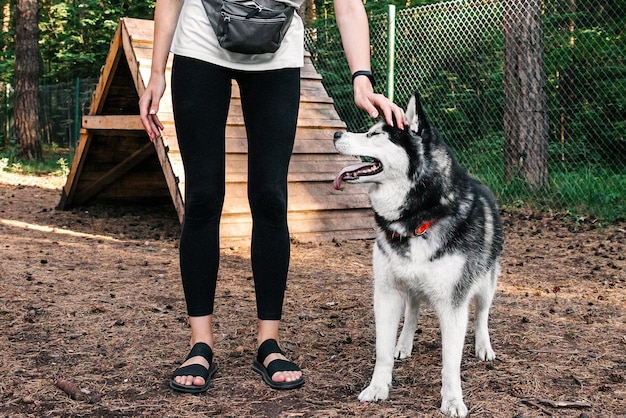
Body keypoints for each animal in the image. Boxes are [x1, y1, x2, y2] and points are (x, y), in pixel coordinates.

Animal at [332, 93, 502, 416]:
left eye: (375, 135)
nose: (336, 134)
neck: (417, 218)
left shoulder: (453, 304)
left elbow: (450, 364)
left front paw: (452, 400)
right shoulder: (386, 293)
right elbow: (382, 350)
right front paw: (378, 387)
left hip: (486, 283)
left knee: (482, 314)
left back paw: (483, 346)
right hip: (410, 287)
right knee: (412, 311)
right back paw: (404, 343)